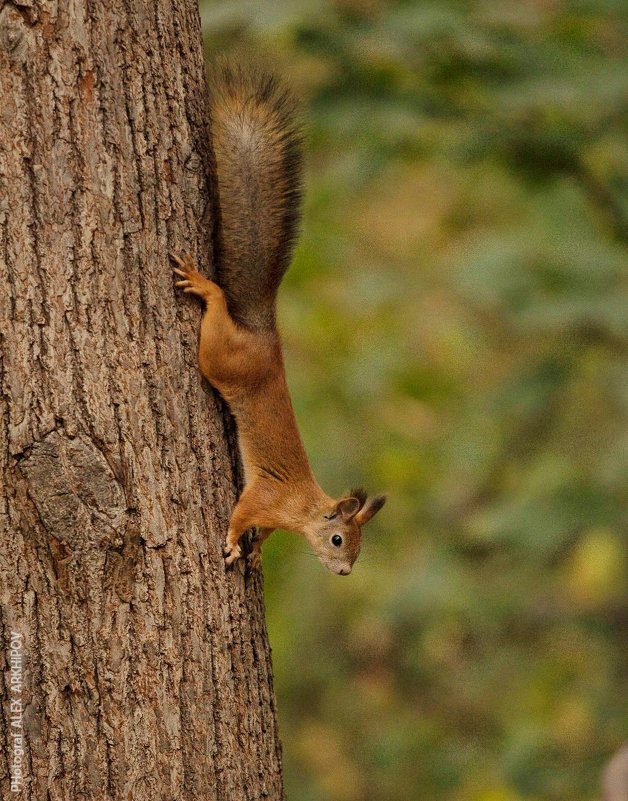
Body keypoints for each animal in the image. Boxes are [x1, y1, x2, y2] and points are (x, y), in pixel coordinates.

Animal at [173, 64, 388, 576]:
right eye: (337, 539)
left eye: (357, 548)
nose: (345, 571)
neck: (303, 507)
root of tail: (263, 335)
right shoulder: (265, 497)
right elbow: (240, 514)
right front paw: (233, 542)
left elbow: (264, 533)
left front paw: (254, 552)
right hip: (220, 356)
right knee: (215, 317)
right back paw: (207, 288)